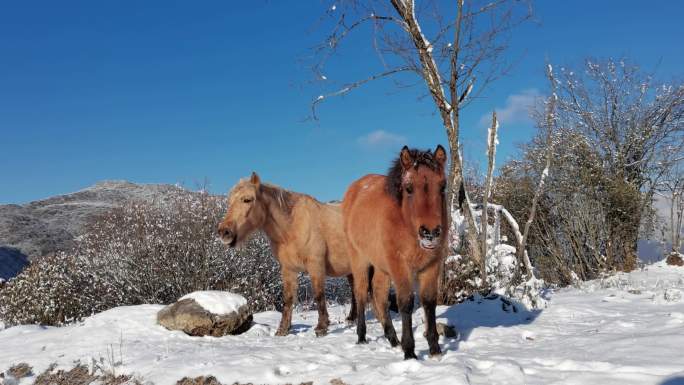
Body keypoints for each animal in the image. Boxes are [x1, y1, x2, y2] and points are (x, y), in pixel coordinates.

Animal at [219, 172, 358, 334]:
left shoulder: (316, 265)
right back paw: (352, 319)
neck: (291, 227)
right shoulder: (288, 269)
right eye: (230, 201)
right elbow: (288, 299)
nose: (224, 232)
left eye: (247, 199)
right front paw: (283, 330)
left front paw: (322, 327)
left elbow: (318, 295)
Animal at [342, 146, 448, 358]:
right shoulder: (400, 266)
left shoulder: (431, 266)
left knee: (379, 296)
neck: (405, 222)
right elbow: (405, 303)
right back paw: (361, 336)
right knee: (361, 294)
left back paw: (392, 339)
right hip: (360, 261)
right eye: (408, 188)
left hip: (381, 267)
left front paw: (435, 350)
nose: (430, 233)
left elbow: (429, 302)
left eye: (443, 186)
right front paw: (410, 352)